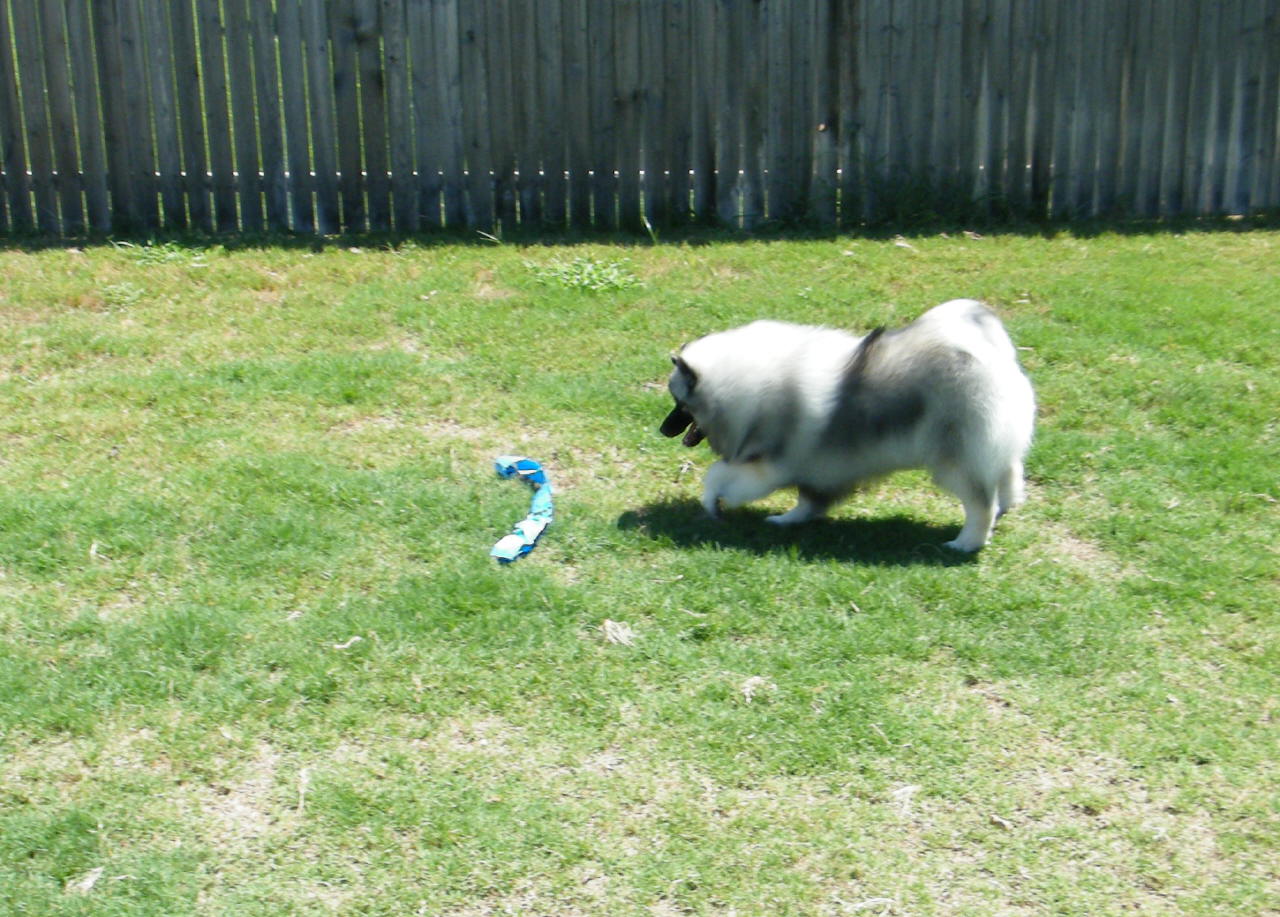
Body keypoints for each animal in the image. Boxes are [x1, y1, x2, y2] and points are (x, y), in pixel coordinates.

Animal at [659, 299, 1035, 552]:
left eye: (680, 404)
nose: (662, 429)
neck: (748, 389)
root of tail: (993, 358)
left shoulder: (766, 467)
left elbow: (717, 476)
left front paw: (712, 504)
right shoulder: (814, 468)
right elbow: (809, 501)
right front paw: (788, 521)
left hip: (956, 461)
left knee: (980, 504)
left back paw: (966, 542)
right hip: (992, 452)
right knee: (1008, 475)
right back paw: (1007, 507)